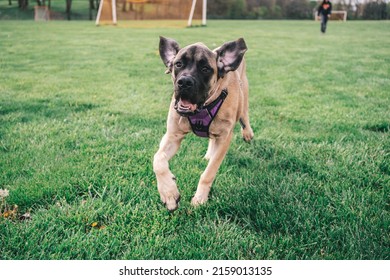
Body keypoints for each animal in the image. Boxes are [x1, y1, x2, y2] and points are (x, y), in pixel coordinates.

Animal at [152, 36, 253, 210]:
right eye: (178, 64)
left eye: (205, 69)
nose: (184, 82)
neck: (201, 109)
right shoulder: (172, 135)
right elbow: (158, 160)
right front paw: (169, 193)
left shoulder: (224, 138)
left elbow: (208, 173)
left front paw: (199, 198)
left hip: (244, 94)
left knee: (244, 115)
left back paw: (247, 133)